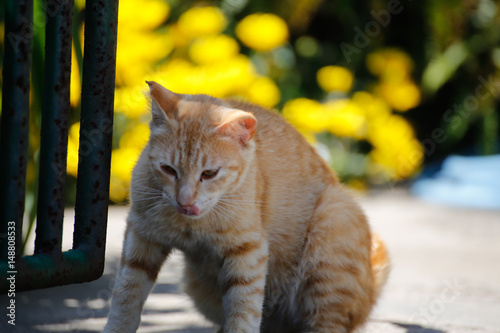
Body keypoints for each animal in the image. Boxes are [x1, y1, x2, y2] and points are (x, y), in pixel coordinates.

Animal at [102, 81, 390, 332]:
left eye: (209, 173)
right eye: (168, 169)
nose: (185, 202)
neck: (192, 226)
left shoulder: (248, 251)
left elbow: (244, 310)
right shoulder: (141, 237)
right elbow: (125, 296)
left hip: (334, 223)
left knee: (327, 323)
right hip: (197, 286)